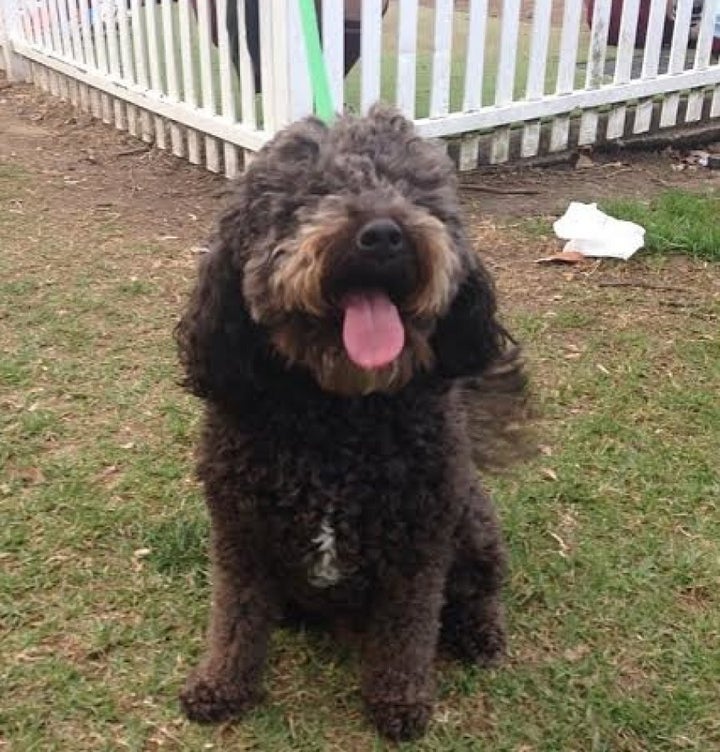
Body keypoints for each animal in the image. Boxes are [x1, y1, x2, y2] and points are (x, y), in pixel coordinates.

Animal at [172, 106, 524, 740]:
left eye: (415, 191)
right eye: (310, 194)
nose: (383, 233)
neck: (338, 416)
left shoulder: (419, 545)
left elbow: (408, 632)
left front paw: (400, 702)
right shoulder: (240, 534)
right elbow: (235, 617)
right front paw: (221, 685)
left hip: (473, 520)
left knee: (479, 589)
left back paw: (478, 632)